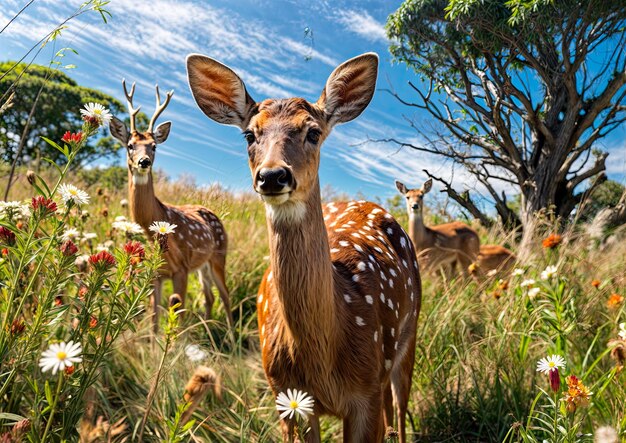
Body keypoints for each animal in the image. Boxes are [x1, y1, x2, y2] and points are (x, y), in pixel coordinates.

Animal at [108, 80, 233, 330]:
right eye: (130, 145)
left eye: (154, 146)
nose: (143, 161)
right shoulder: (156, 276)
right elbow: (154, 322)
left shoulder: (181, 269)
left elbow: (179, 318)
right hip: (202, 265)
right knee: (210, 297)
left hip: (219, 256)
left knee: (225, 297)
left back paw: (232, 337)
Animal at [185, 53, 420, 443]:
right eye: (249, 134)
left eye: (313, 132)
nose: (272, 176)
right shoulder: (286, 395)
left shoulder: (365, 393)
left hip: (410, 333)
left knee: (400, 408)